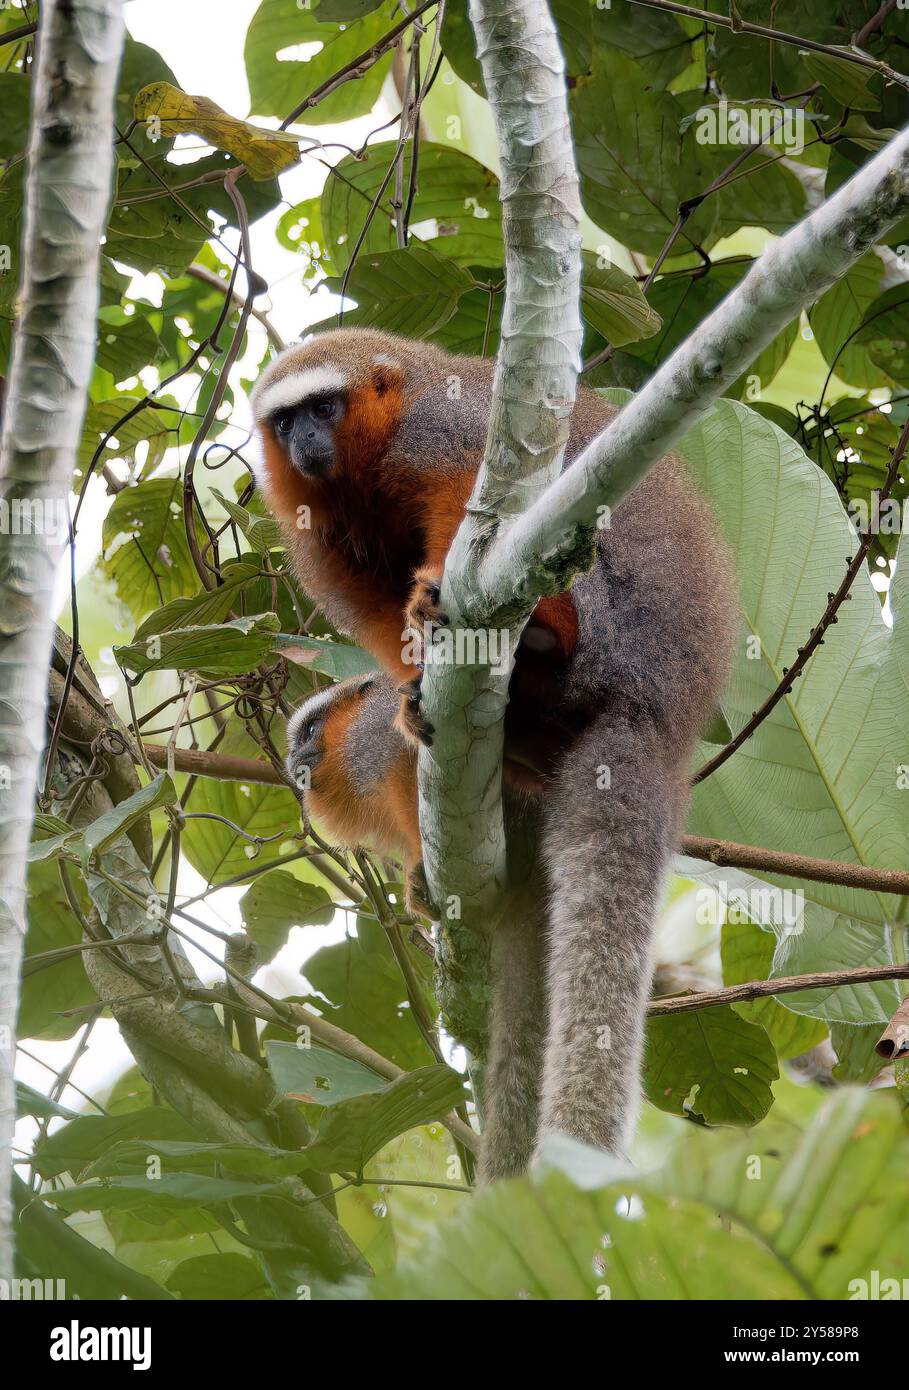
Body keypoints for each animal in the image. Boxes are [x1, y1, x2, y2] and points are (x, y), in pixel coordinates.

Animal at [254, 330, 739, 1178]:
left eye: (325, 408)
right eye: (286, 422)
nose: (307, 441)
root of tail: (661, 711)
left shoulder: (435, 427)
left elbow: (473, 499)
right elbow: (378, 607)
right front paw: (413, 670)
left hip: (613, 636)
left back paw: (541, 636)